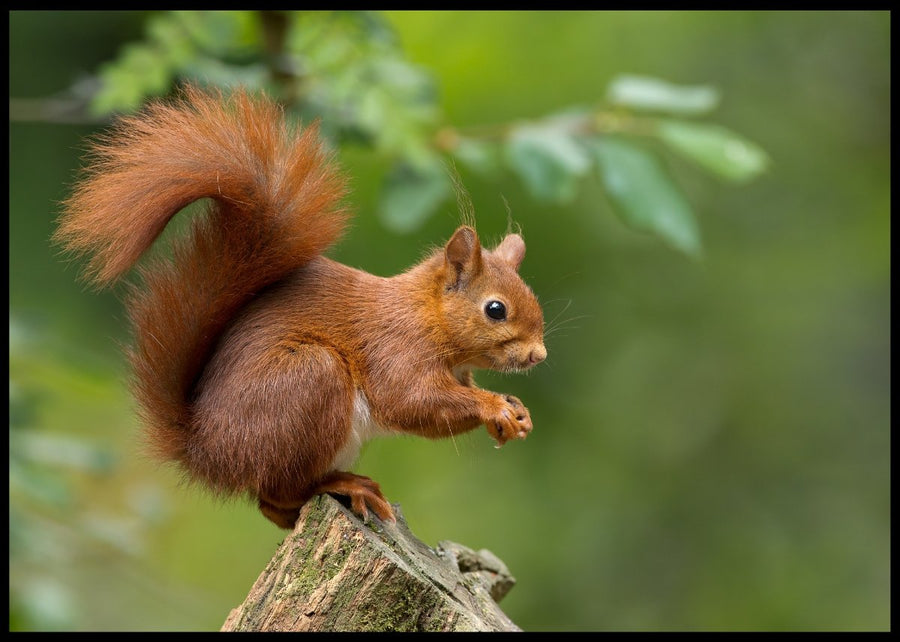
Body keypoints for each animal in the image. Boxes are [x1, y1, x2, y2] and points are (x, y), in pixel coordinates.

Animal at [54, 85, 546, 529]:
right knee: (277, 492)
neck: (426, 316)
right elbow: (412, 401)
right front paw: (494, 407)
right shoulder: (395, 348)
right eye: (496, 309)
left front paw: (515, 412)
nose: (539, 355)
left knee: (271, 507)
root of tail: (206, 453)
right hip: (309, 381)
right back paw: (343, 484)